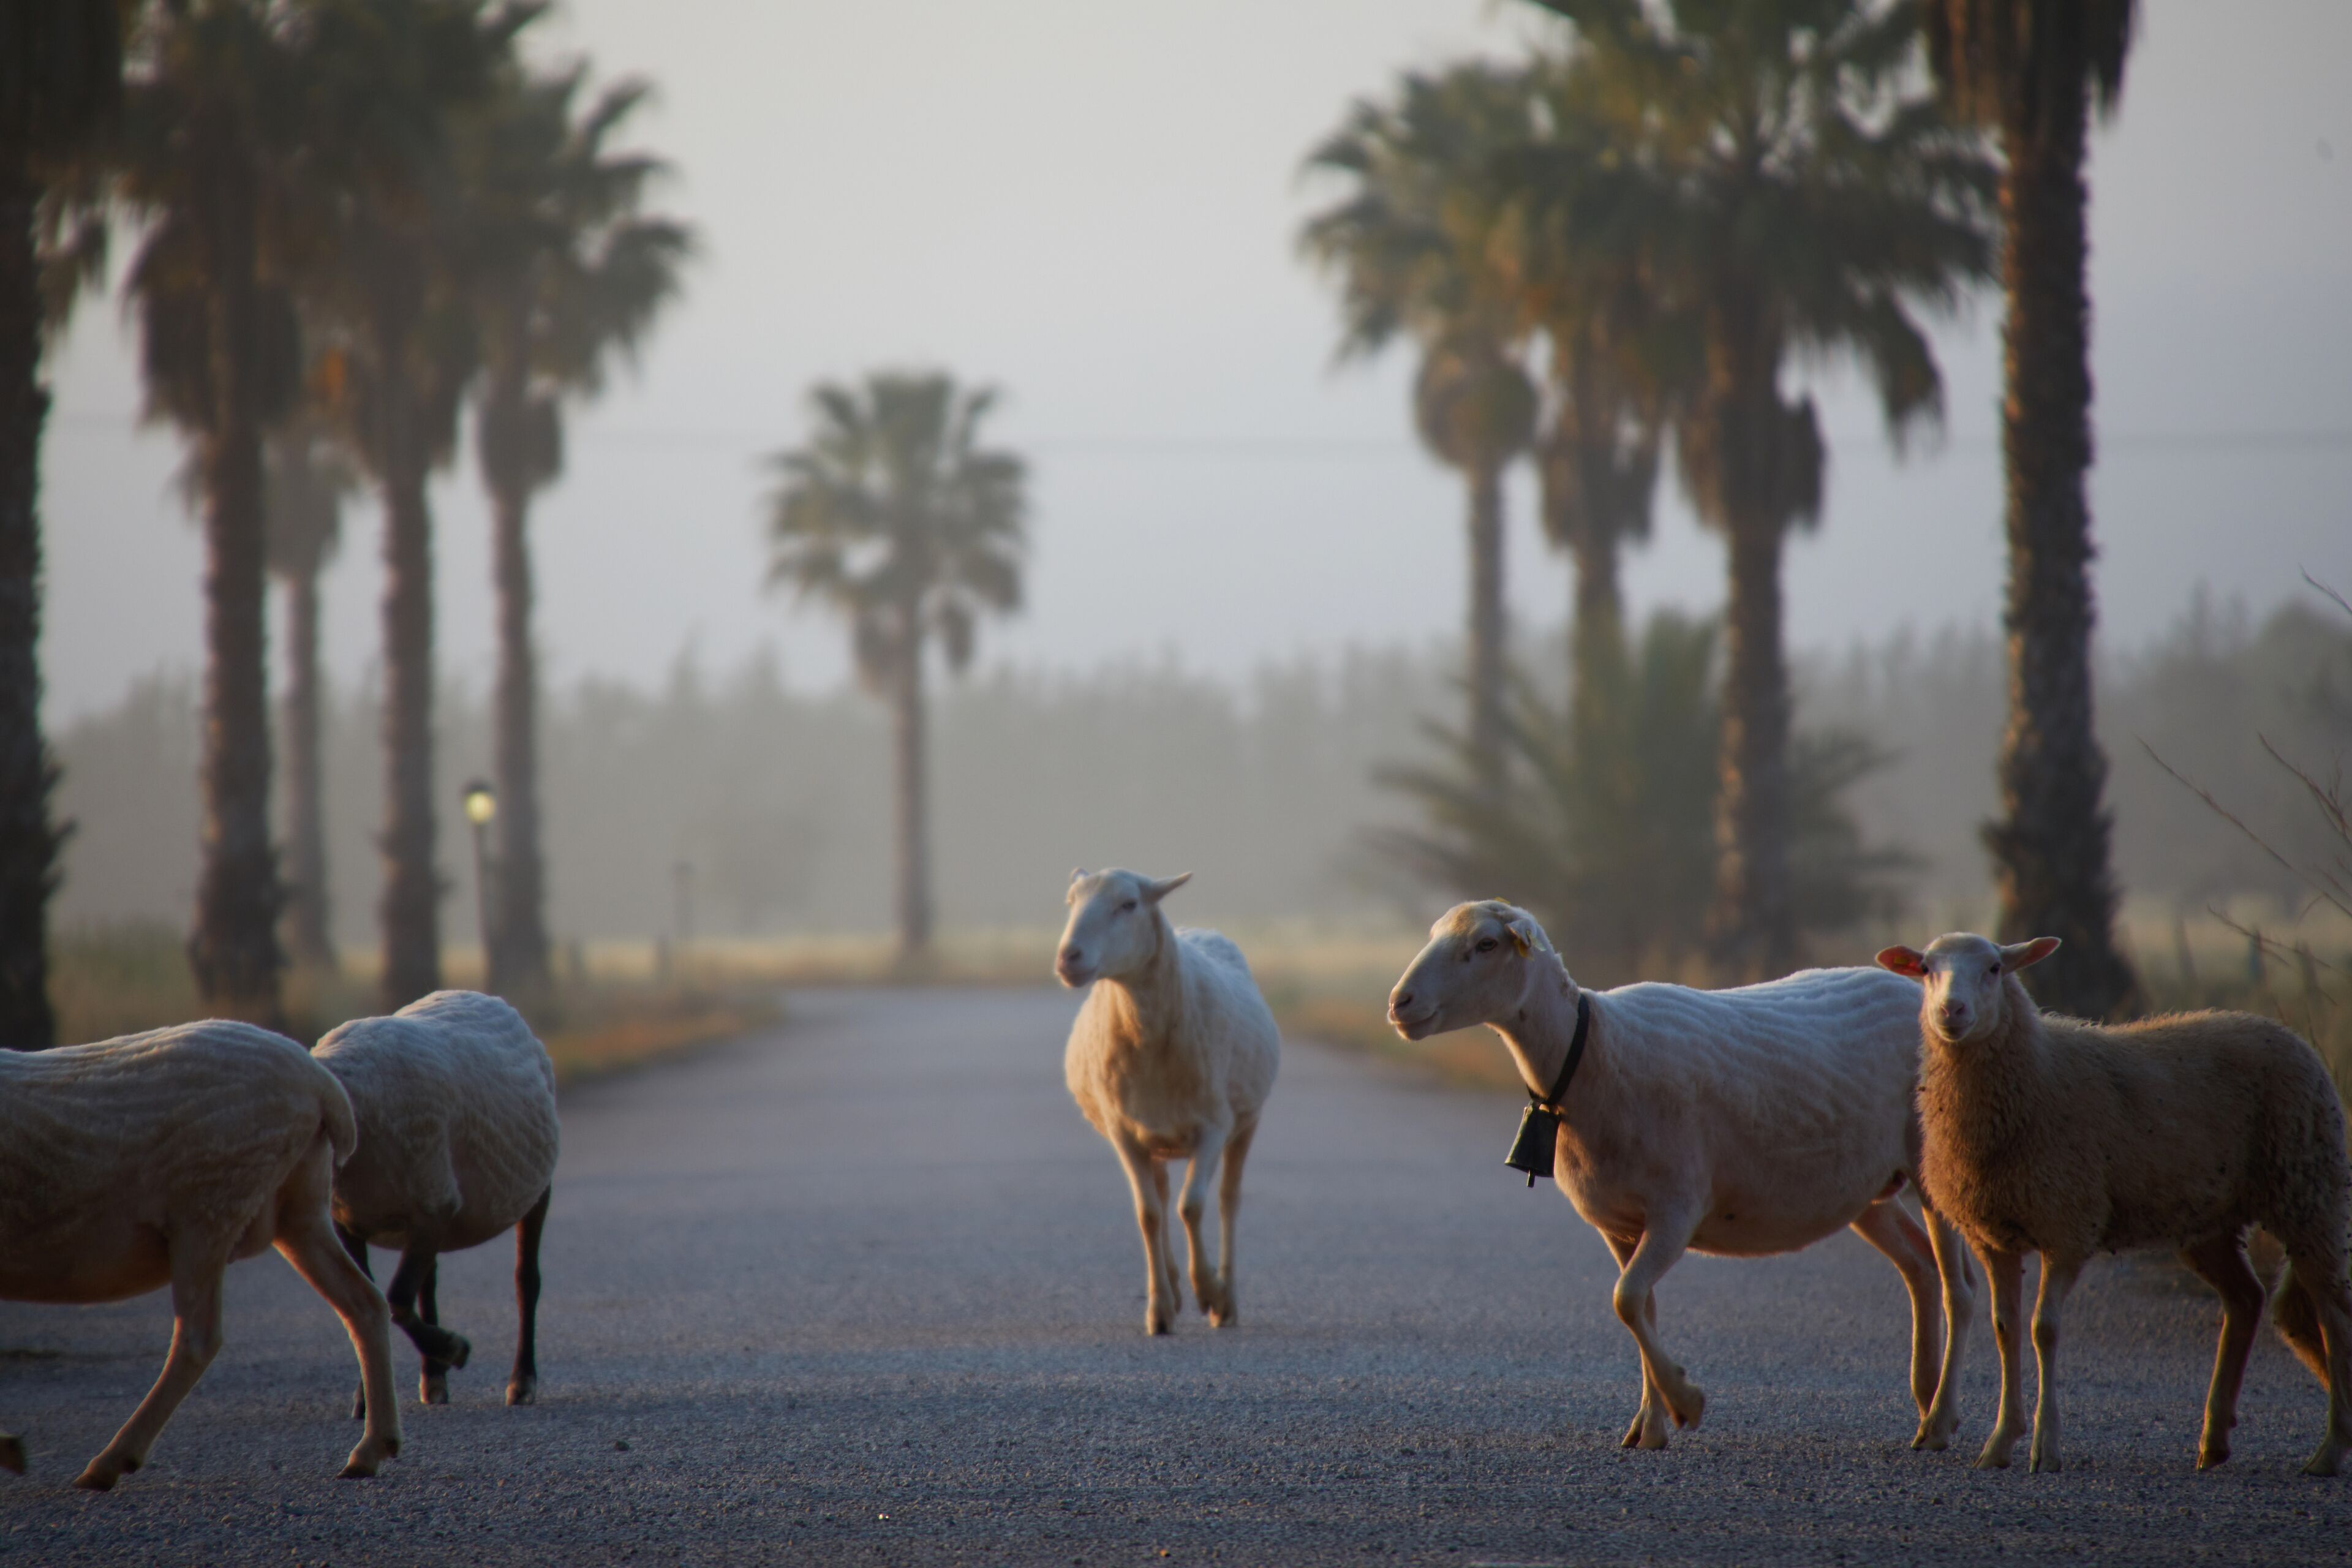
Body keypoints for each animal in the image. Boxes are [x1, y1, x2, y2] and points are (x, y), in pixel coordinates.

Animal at [0, 1021, 401, 1489]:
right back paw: (371, 1450)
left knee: (197, 1338)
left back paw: (111, 1461)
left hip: (208, 1205)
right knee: (364, 1303)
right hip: (298, 1208)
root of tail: (323, 1087)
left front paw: (10, 1449)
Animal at [313, 990, 560, 1409]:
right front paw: (368, 1397)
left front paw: (455, 1348)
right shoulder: (351, 1220)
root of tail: (483, 996)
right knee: (427, 1284)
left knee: (527, 1281)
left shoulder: (432, 1209)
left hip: (530, 1189)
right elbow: (367, 1304)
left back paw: (521, 1381)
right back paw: (433, 1379)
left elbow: (394, 1300)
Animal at [1057, 869, 1280, 1335]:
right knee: (1159, 1196)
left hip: (1247, 1119)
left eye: (1129, 904)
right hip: (1152, 1133)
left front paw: (1209, 1290)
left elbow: (1191, 1207)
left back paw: (1227, 1302)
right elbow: (1149, 1214)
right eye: (1071, 901)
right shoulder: (1124, 1132)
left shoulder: (1213, 1126)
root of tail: (1195, 929)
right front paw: (1160, 1308)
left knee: (1228, 1200)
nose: (1068, 957)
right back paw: (1175, 1288)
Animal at [1387, 900, 1977, 1450]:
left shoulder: (1677, 1207)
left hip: (1930, 1163)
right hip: (1865, 1190)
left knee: (1960, 1289)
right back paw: (1925, 1398)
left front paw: (1685, 1403)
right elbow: (1640, 1306)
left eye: (1487, 944)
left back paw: (1940, 1421)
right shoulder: (1620, 1221)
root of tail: (1916, 989)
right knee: (1920, 1268)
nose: (1399, 1004)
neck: (1594, 1052)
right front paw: (1648, 1427)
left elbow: (1625, 1299)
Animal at [1876, 932, 2352, 1475]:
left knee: (2333, 1312)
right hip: (2210, 1219)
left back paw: (2330, 1449)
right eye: (1927, 969)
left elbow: (2043, 1330)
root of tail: (2289, 1034)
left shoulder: (2068, 1225)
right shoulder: (1995, 1235)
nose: (1951, 1011)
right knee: (2246, 1299)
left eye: (1995, 968)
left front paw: (2046, 1447)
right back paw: (2213, 1440)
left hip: (2309, 1187)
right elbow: (2005, 1329)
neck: (2035, 1074)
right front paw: (2000, 1443)